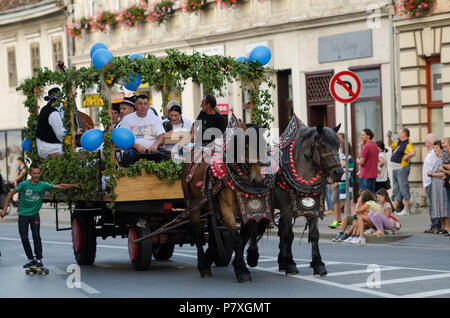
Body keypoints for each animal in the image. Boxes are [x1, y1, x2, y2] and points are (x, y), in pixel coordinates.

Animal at [180, 120, 270, 282]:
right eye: (246, 146)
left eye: (265, 146)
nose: (258, 180)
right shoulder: (227, 209)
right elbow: (237, 240)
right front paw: (242, 271)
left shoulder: (247, 210)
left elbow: (248, 234)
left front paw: (249, 258)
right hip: (193, 204)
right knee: (197, 234)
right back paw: (203, 266)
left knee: (211, 229)